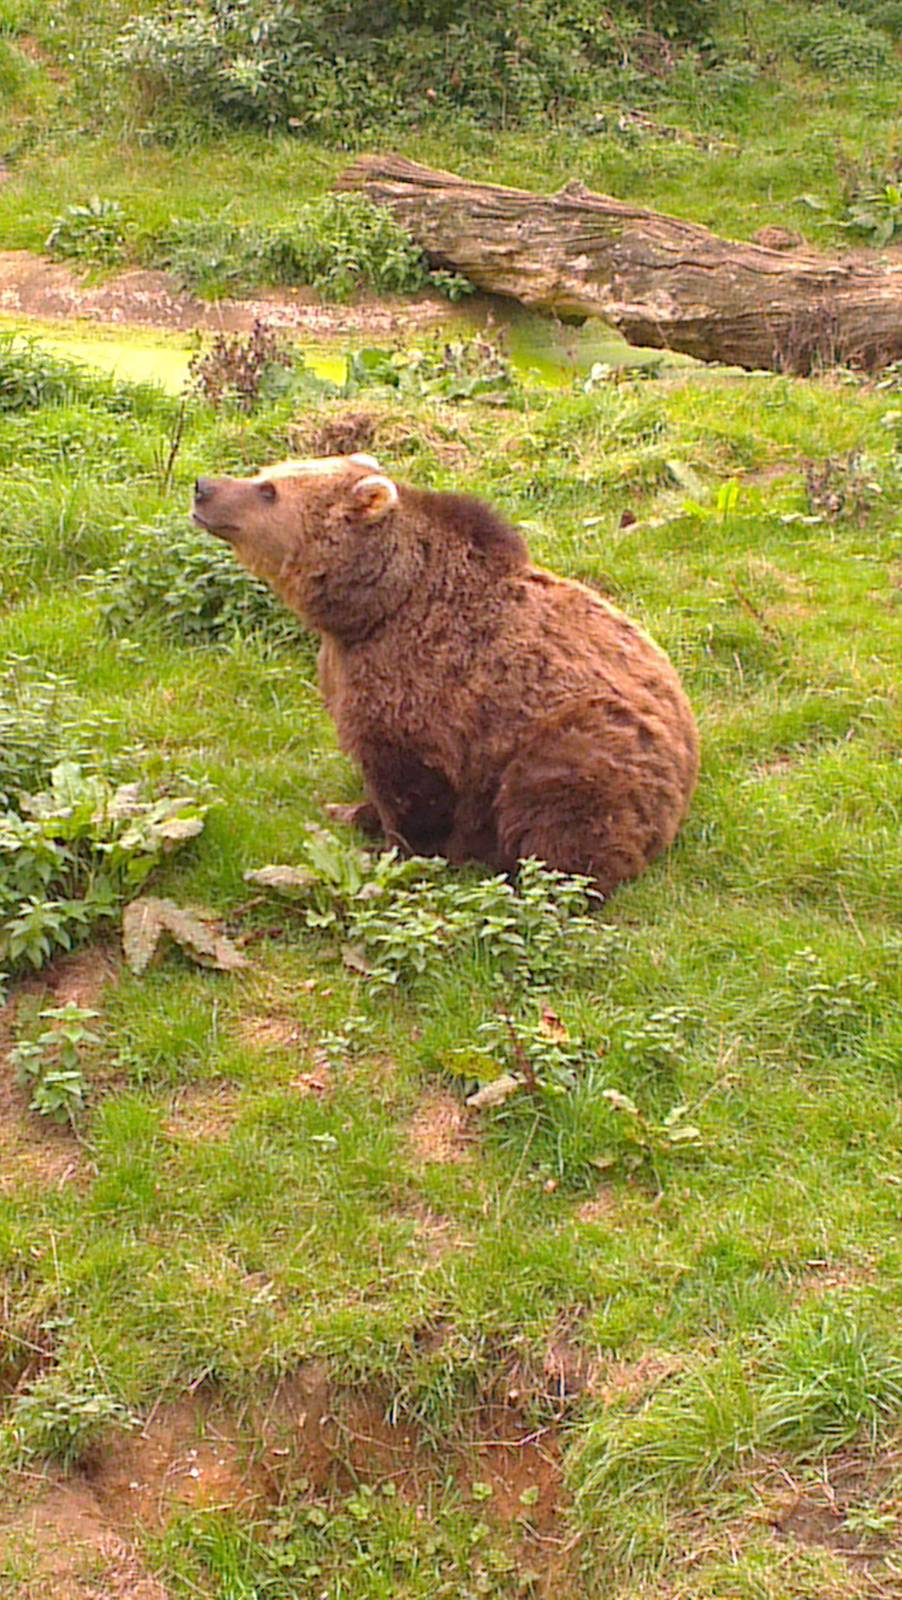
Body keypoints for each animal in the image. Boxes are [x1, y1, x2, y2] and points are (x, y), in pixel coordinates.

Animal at [192, 454, 699, 898]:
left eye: (269, 490)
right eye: (265, 471)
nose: (203, 487)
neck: (374, 609)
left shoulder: (424, 694)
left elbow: (412, 784)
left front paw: (398, 849)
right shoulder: (342, 668)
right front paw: (353, 810)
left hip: (585, 746)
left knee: (565, 816)